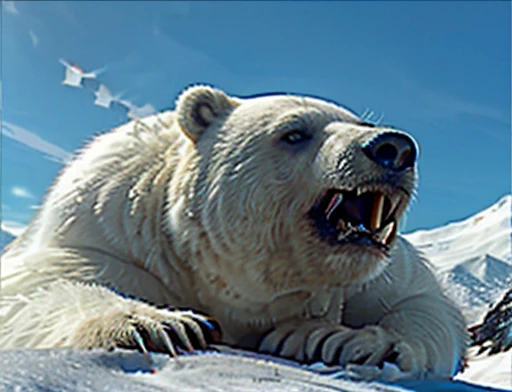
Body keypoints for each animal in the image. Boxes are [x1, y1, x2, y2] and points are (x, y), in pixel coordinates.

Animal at [0, 86, 468, 380]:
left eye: (362, 123)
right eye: (294, 132)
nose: (393, 148)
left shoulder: (371, 277)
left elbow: (424, 301)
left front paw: (334, 339)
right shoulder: (106, 228)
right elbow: (38, 287)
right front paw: (161, 325)